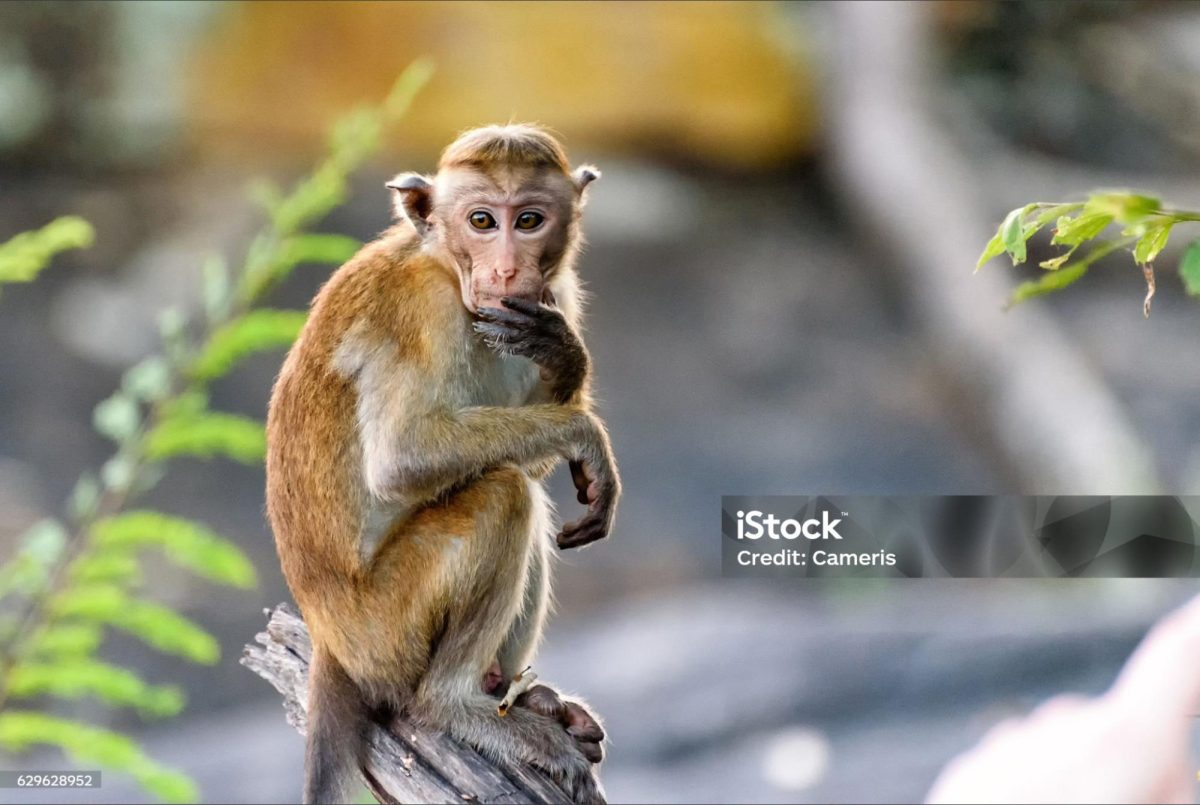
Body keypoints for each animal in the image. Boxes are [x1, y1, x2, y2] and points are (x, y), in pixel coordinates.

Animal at [265, 124, 620, 805]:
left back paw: (521, 695)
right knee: (503, 495)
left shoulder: (550, 298)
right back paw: (455, 707)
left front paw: (566, 357)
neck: (446, 265)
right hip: (386, 631)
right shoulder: (422, 311)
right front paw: (586, 434)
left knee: (513, 484)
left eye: (529, 220)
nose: (506, 268)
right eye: (481, 221)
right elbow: (403, 458)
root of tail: (329, 642)